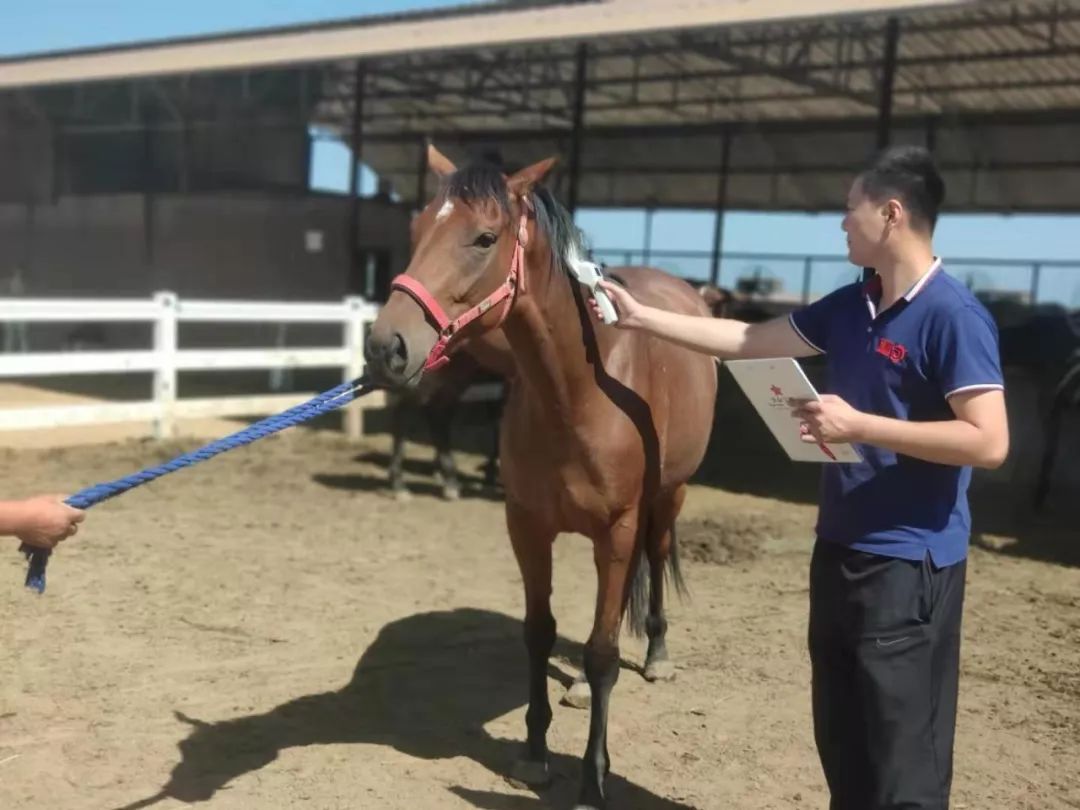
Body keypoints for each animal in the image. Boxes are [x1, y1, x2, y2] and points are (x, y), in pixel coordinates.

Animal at [362, 147, 717, 810]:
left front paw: (593, 779)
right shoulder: (527, 526)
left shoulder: (619, 526)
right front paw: (533, 751)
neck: (581, 391)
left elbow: (604, 653)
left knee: (654, 561)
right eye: (417, 231)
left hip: (666, 498)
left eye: (484, 237)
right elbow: (538, 632)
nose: (385, 347)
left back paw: (656, 654)